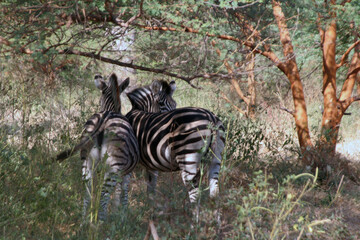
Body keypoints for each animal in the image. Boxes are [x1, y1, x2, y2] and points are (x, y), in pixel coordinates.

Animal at [55, 73, 139, 221]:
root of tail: (104, 119)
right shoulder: (126, 172)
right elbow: (123, 193)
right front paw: (121, 215)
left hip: (87, 160)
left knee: (88, 189)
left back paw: (85, 221)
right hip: (113, 165)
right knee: (105, 195)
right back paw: (100, 222)